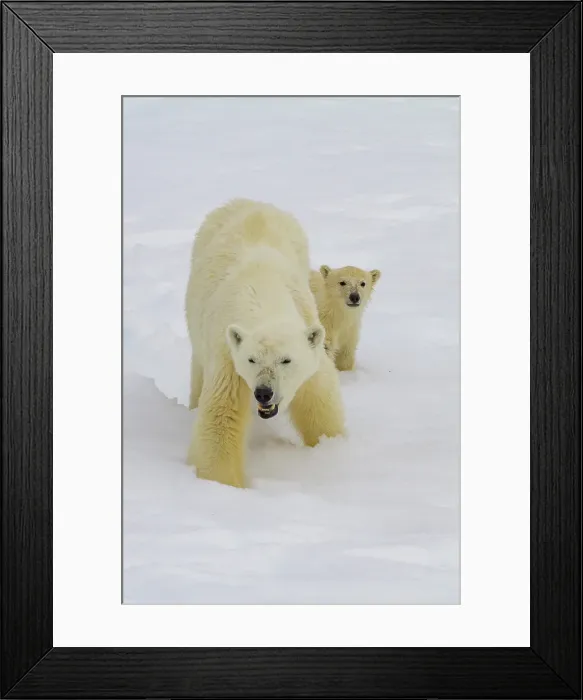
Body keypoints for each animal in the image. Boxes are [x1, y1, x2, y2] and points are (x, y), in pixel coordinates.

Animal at [184, 198, 345, 488]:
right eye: (252, 359)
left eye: (286, 360)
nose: (263, 393)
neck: (262, 290)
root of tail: (249, 201)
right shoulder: (228, 354)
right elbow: (222, 416)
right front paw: (222, 484)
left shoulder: (306, 327)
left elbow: (318, 396)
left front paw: (332, 448)